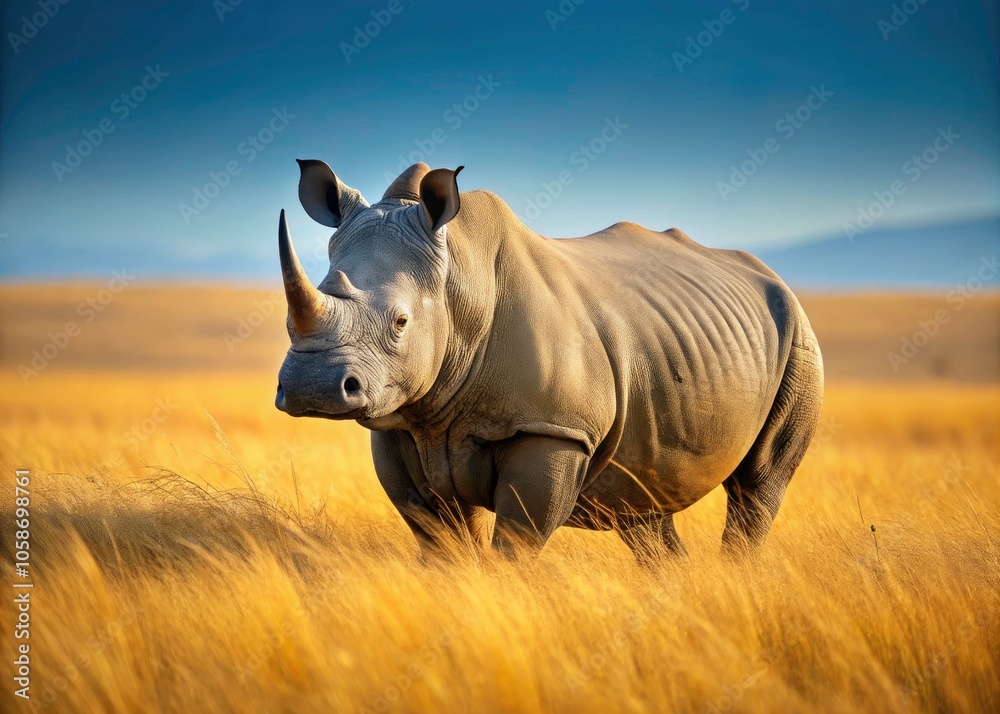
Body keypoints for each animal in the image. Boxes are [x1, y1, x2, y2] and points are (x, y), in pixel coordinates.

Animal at [275, 160, 824, 560]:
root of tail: (773, 278)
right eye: (286, 319)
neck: (460, 283)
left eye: (401, 322)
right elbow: (441, 545)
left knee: (758, 486)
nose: (313, 386)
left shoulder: (554, 427)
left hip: (799, 338)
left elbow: (515, 545)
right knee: (646, 511)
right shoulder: (402, 424)